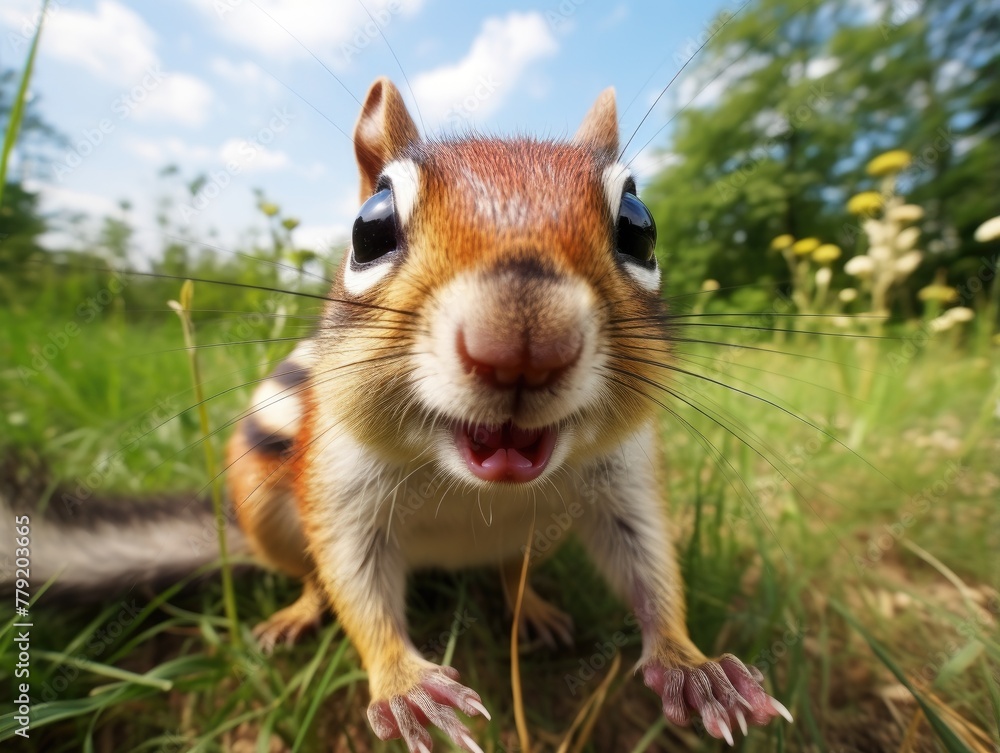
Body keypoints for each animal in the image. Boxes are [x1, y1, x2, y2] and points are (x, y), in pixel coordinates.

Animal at [6, 78, 793, 752]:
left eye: (638, 227)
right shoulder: (343, 487)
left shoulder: (621, 482)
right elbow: (355, 582)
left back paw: (532, 609)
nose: (525, 342)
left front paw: (695, 666)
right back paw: (297, 613)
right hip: (265, 510)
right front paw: (409, 685)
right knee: (314, 576)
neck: (472, 487)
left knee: (512, 573)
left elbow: (650, 566)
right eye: (370, 229)